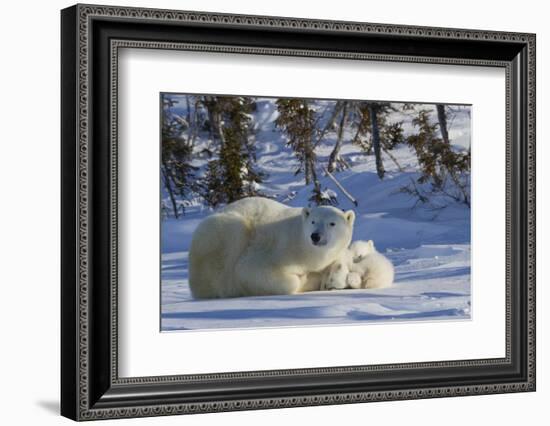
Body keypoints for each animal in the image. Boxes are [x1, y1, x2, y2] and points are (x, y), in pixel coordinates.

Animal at [188, 198, 356, 298]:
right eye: (313, 221)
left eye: (332, 223)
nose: (315, 236)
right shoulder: (275, 249)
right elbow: (249, 271)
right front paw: (307, 279)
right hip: (223, 234)